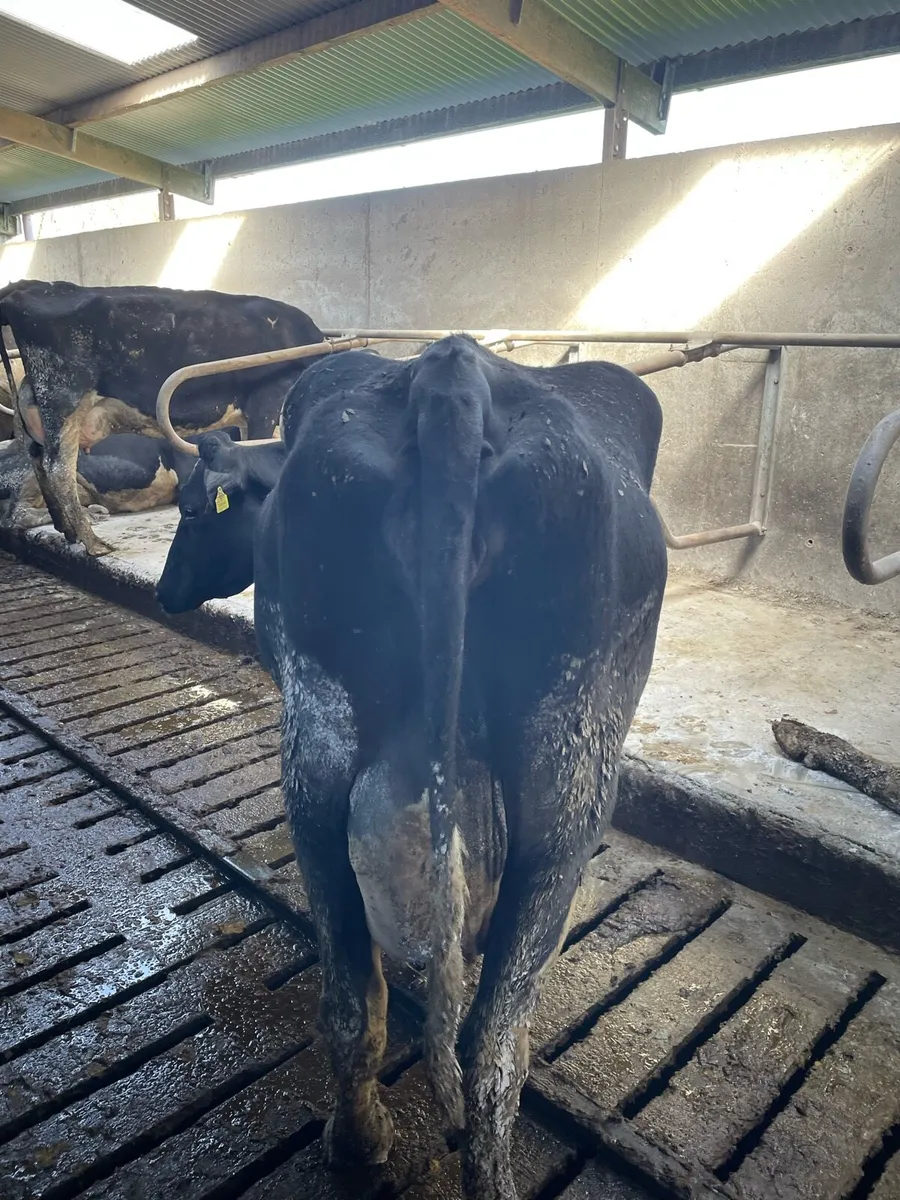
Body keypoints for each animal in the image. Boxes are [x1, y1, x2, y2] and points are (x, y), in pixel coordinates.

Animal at [0, 279, 324, 556]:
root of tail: (31, 287)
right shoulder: (265, 403)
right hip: (63, 397)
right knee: (57, 469)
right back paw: (93, 542)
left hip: (38, 403)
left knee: (39, 460)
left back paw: (69, 531)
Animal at [155, 336, 667, 1200]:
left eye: (193, 510)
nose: (163, 592)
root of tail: (453, 370)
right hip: (565, 783)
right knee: (486, 1043)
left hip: (324, 753)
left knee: (363, 1006)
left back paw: (360, 1144)